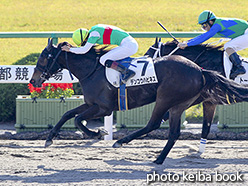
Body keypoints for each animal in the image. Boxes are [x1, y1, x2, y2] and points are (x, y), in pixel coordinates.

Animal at [31, 38, 248, 163]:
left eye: (43, 58)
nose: (33, 80)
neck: (92, 70)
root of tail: (200, 70)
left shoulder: (103, 108)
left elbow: (77, 119)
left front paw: (97, 132)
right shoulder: (92, 104)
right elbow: (67, 114)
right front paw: (50, 138)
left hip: (165, 98)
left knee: (154, 124)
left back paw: (125, 144)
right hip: (180, 104)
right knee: (173, 132)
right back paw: (158, 159)